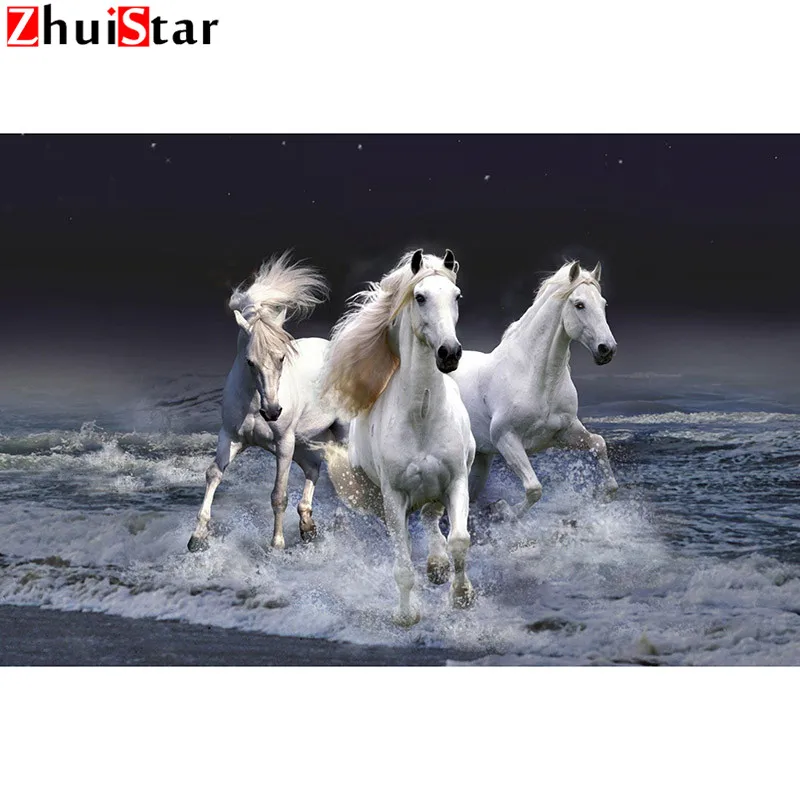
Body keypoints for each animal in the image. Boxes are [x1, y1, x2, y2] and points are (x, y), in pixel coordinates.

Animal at [187, 253, 348, 553]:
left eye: (282, 357)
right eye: (250, 361)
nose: (272, 411)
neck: (254, 403)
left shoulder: (283, 443)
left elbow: (278, 495)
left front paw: (277, 545)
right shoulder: (231, 437)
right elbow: (213, 474)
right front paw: (197, 537)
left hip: (338, 433)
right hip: (304, 441)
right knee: (314, 469)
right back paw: (307, 526)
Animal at [320, 249, 476, 626]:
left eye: (457, 296)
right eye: (420, 297)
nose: (449, 353)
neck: (422, 416)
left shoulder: (456, 480)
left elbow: (459, 540)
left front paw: (462, 596)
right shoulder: (393, 497)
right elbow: (403, 565)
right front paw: (407, 615)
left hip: (436, 489)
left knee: (432, 517)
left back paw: (437, 566)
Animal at [452, 259, 618, 521]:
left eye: (603, 304)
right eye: (579, 304)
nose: (607, 349)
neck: (537, 379)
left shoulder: (564, 433)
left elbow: (599, 444)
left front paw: (602, 496)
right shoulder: (506, 439)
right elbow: (534, 489)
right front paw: (504, 510)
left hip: (480, 459)